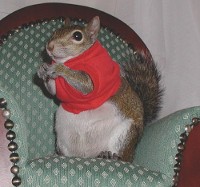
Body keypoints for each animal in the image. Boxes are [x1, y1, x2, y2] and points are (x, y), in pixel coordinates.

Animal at [37, 16, 162, 162]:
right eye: (55, 32)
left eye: (77, 36)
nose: (50, 46)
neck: (72, 60)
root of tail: (87, 156)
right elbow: (53, 91)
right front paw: (42, 69)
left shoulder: (94, 80)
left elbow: (85, 84)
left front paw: (59, 68)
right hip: (62, 135)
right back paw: (59, 155)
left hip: (125, 135)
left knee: (122, 156)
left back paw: (110, 155)